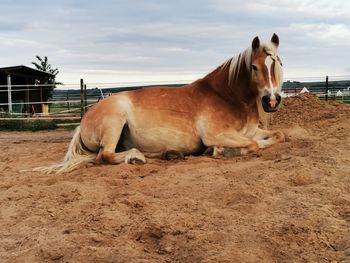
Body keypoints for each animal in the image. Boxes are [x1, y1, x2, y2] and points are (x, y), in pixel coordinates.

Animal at [36, 33, 284, 174]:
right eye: (254, 67)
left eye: (278, 63)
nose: (271, 100)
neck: (225, 96)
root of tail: (84, 120)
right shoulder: (217, 134)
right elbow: (253, 145)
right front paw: (220, 151)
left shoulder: (250, 131)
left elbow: (278, 136)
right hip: (115, 121)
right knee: (104, 156)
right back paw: (137, 157)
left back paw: (169, 154)